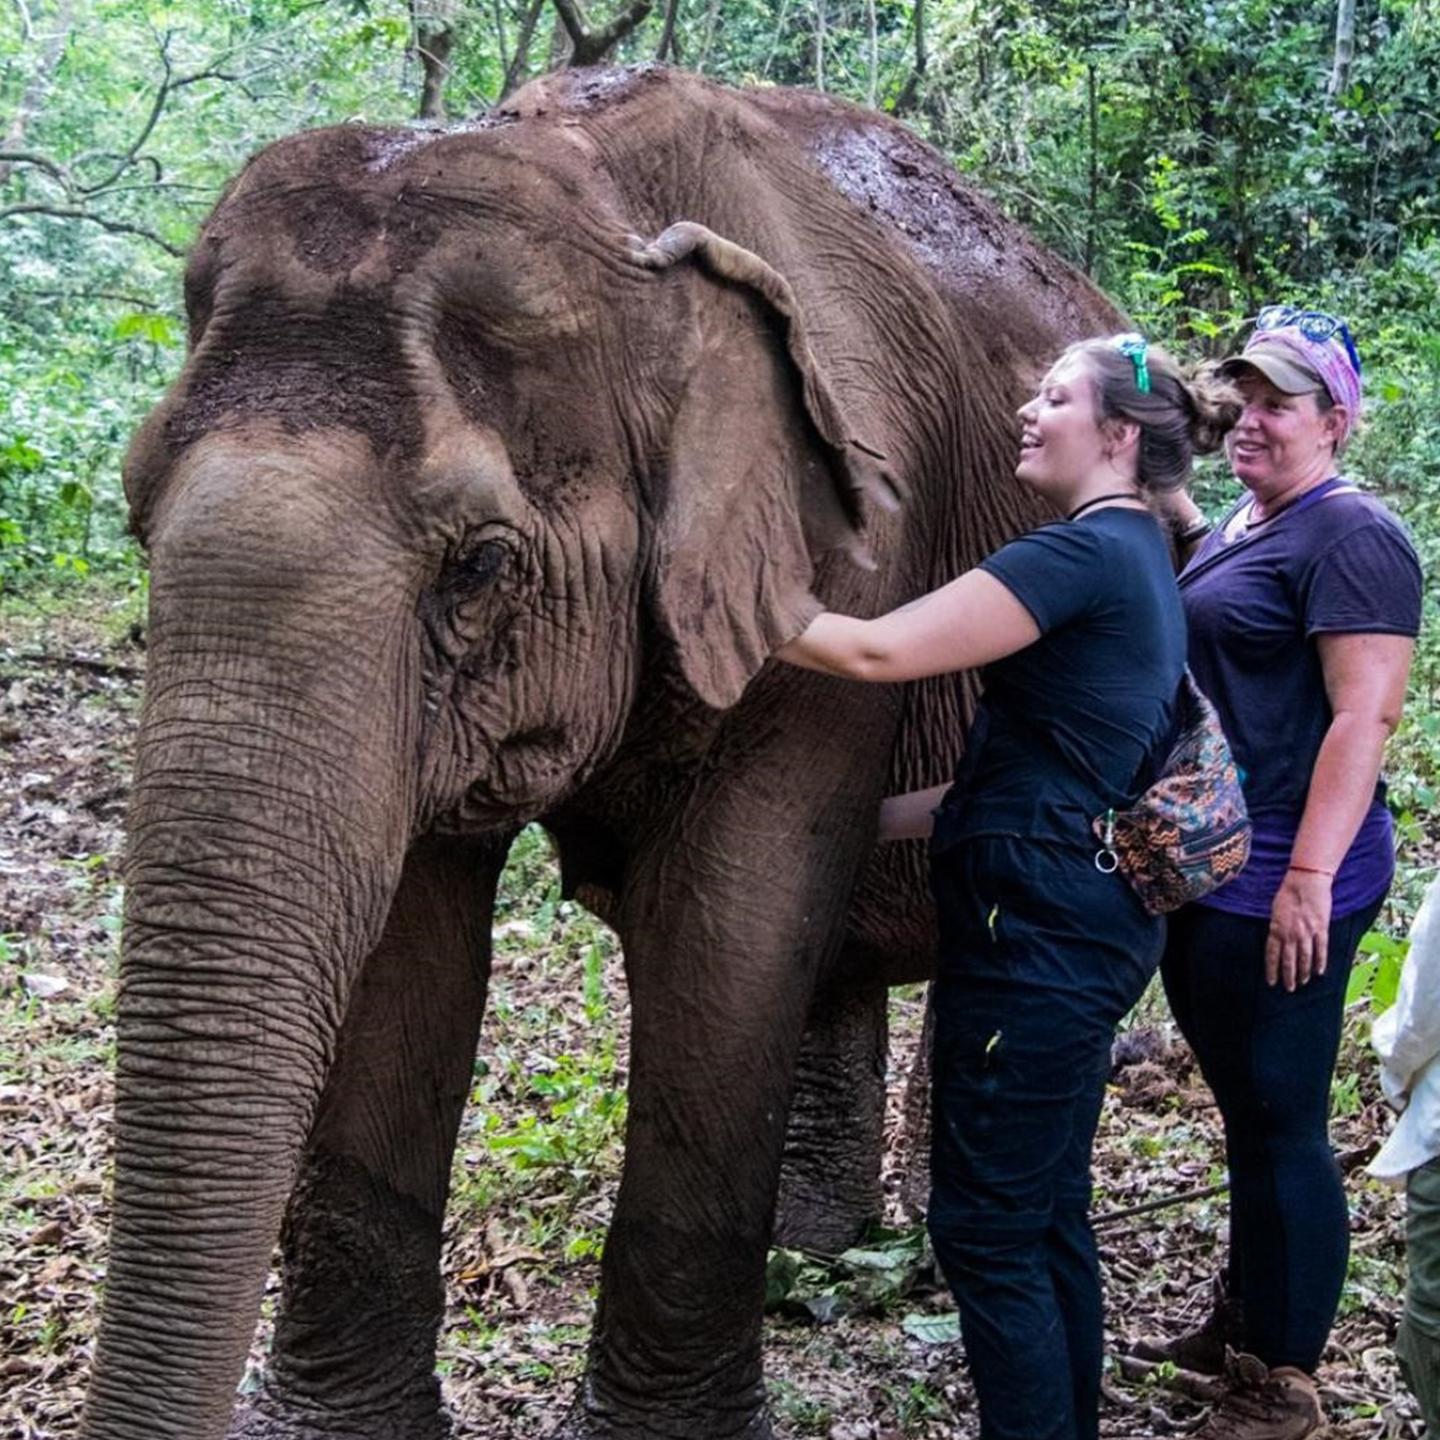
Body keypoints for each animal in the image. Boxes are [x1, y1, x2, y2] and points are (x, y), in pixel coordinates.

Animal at [81, 63, 1119, 1440]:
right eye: (136, 518)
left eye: (479, 564)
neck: (599, 192)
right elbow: (408, 948)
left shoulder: (854, 562)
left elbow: (731, 928)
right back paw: (818, 1253)